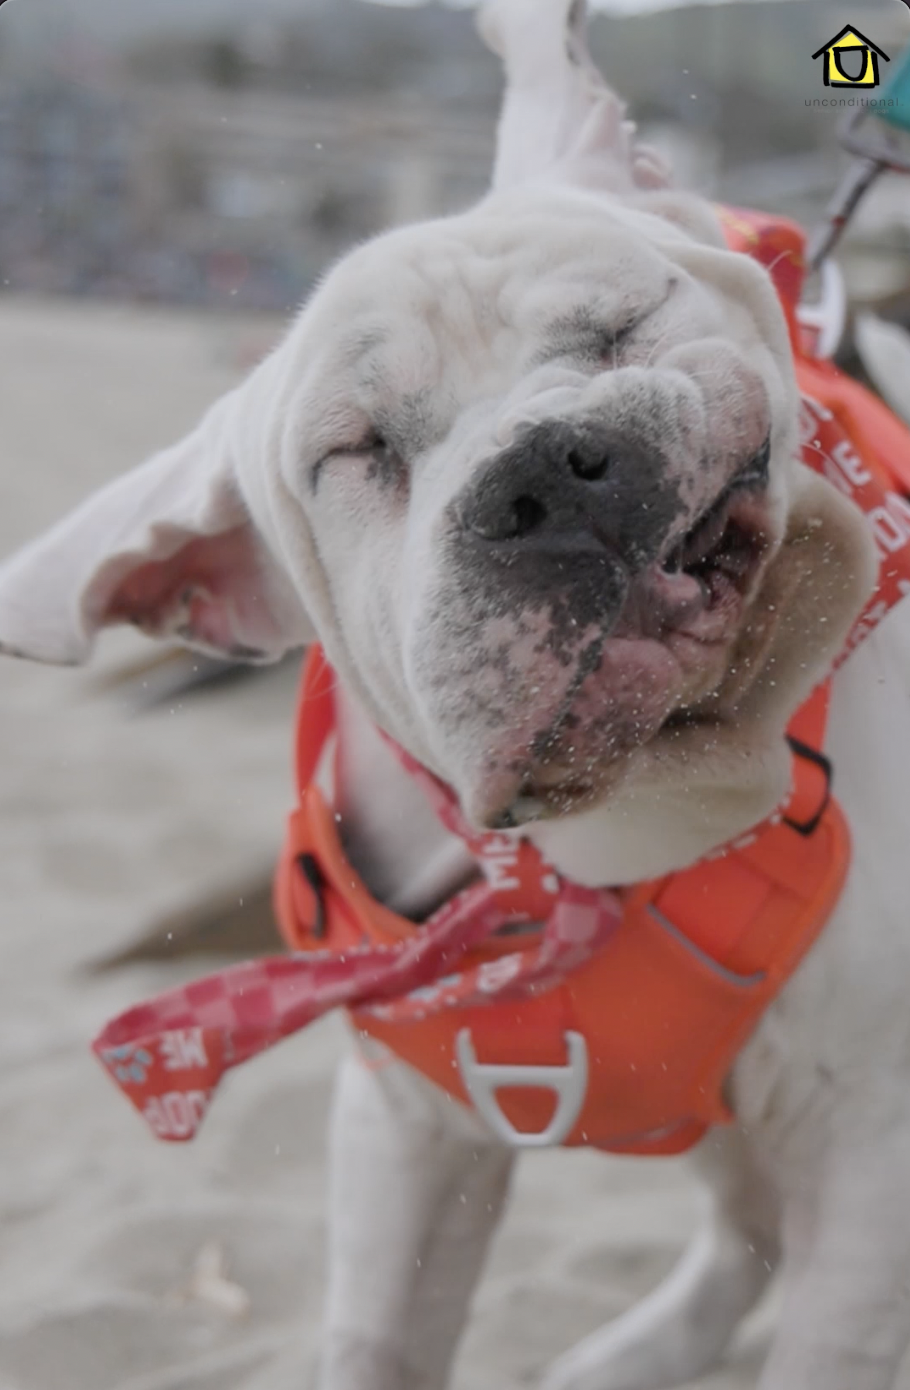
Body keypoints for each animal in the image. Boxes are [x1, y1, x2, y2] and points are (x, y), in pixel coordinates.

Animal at [1, 2, 910, 1390]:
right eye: (354, 452)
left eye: (621, 323)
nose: (549, 471)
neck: (632, 822)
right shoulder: (407, 1138)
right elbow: (378, 1340)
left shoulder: (866, 1146)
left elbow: (829, 1340)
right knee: (741, 1227)